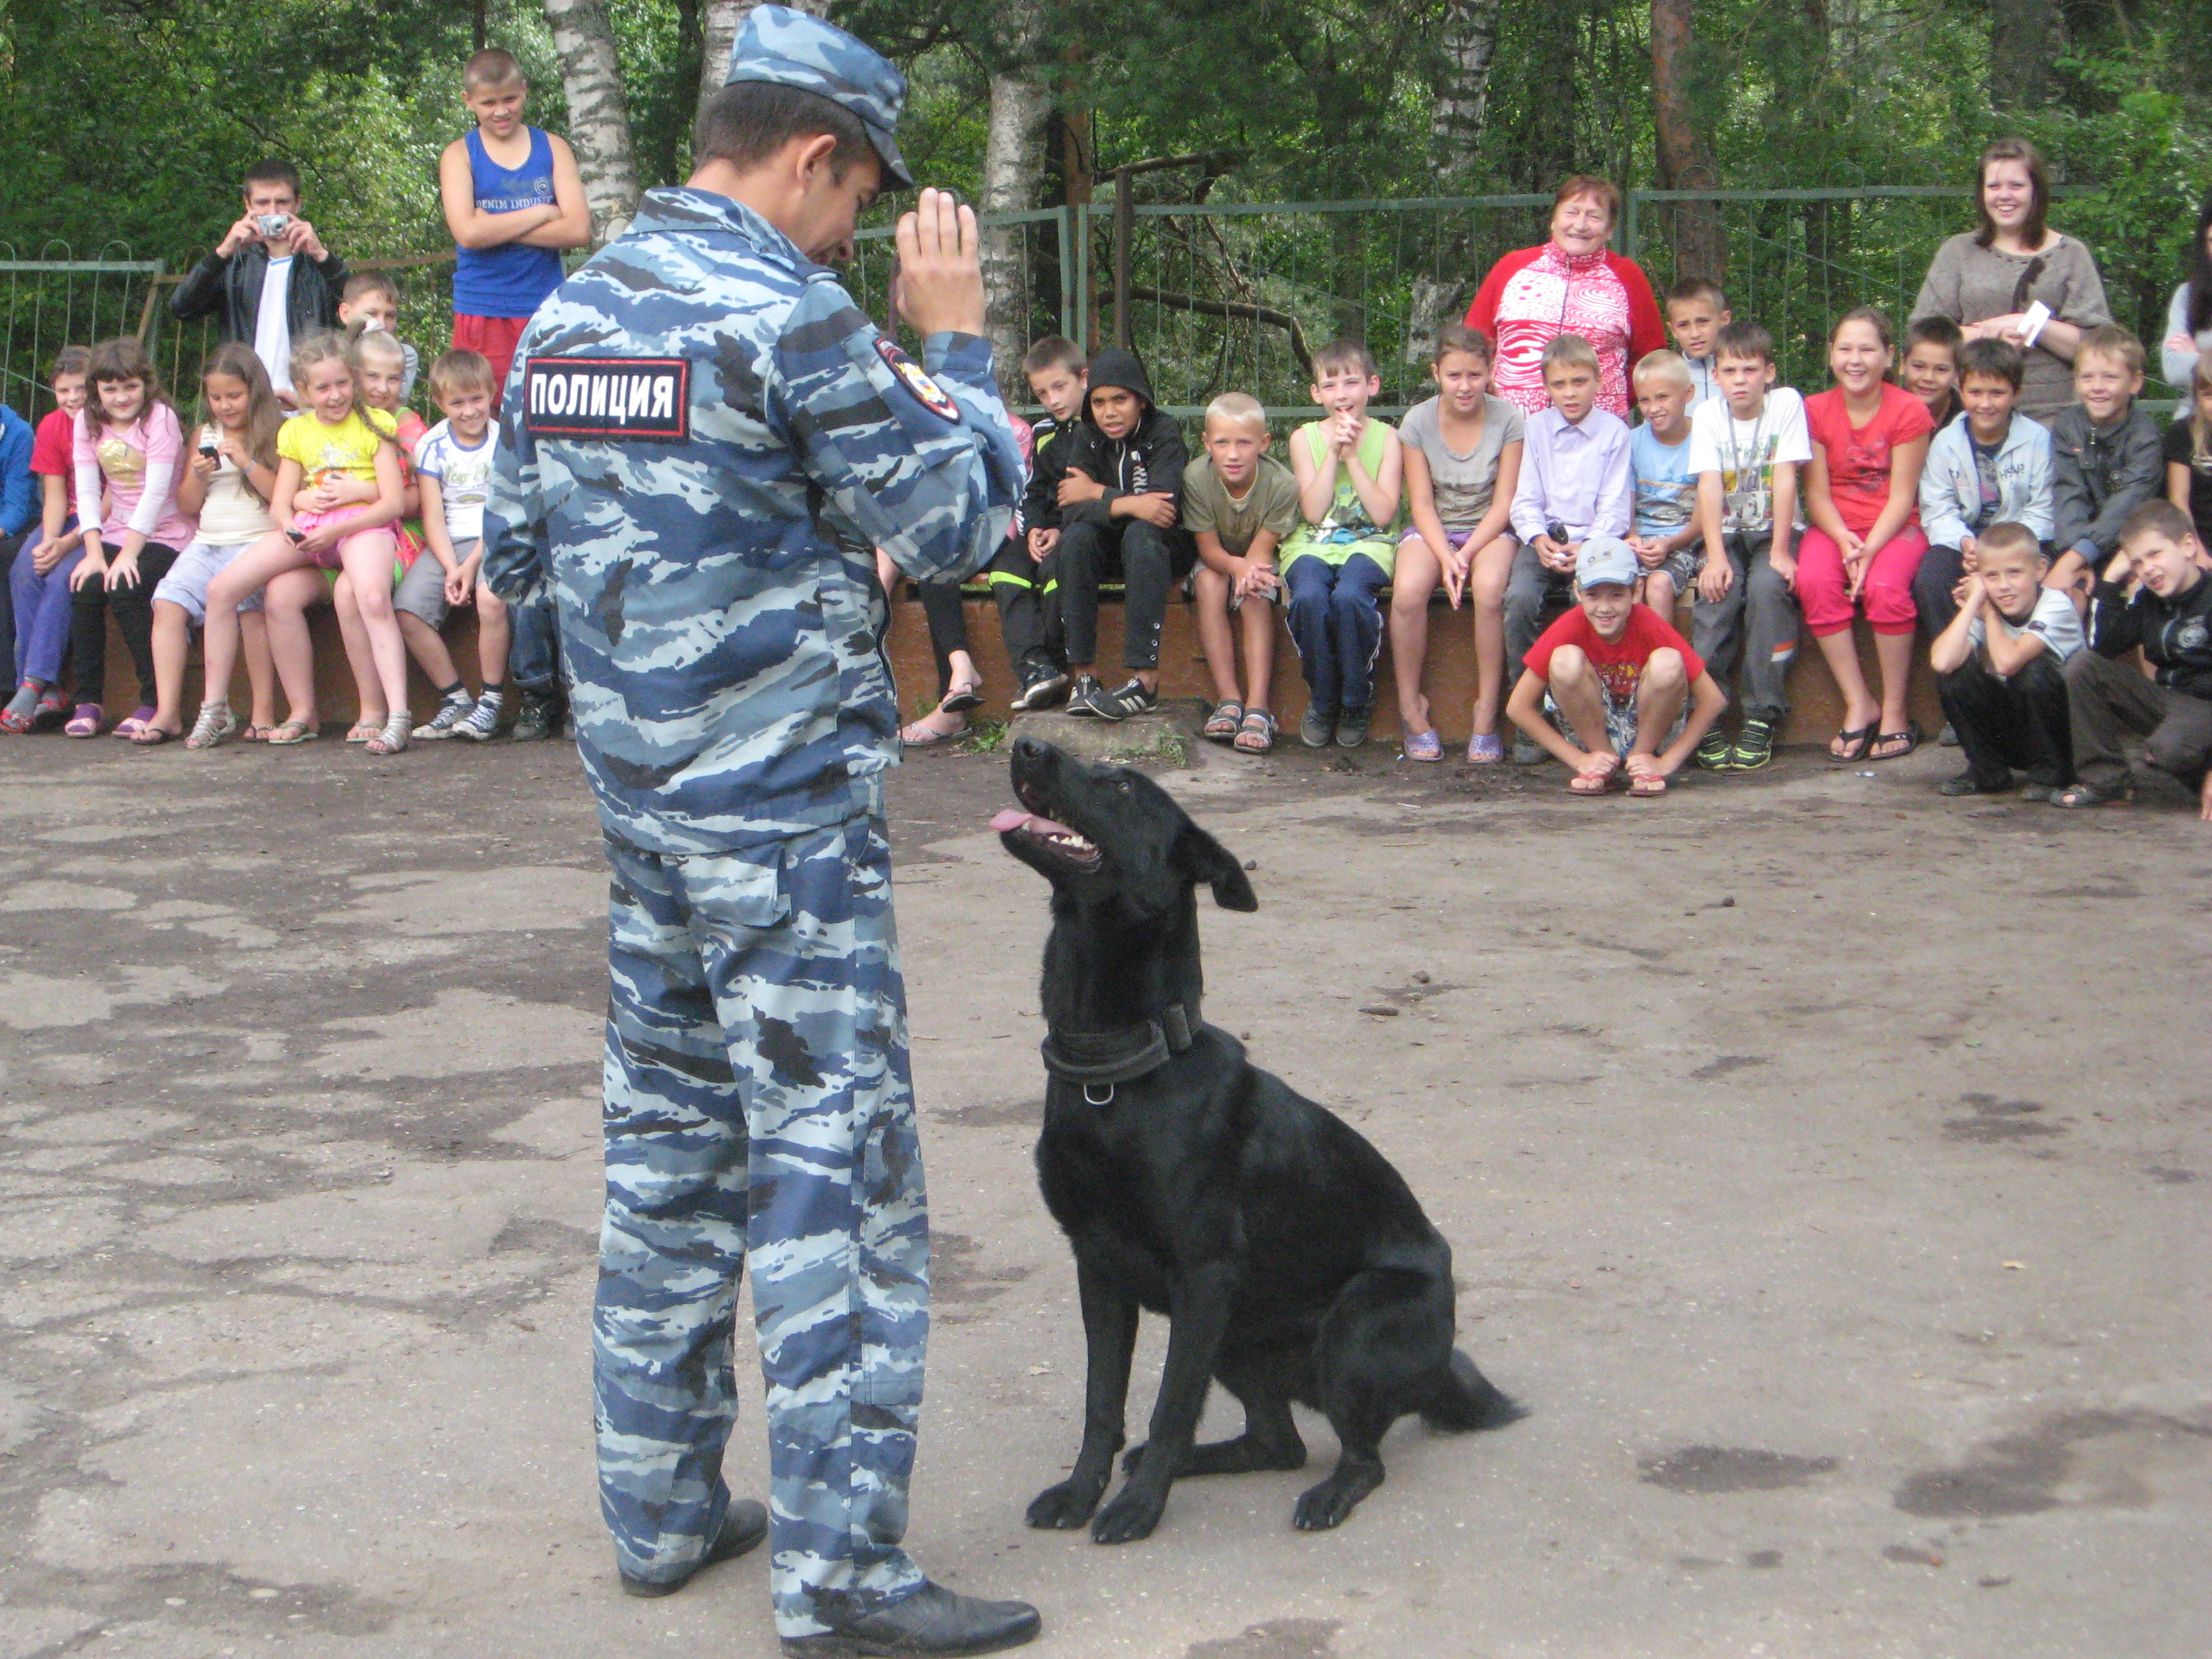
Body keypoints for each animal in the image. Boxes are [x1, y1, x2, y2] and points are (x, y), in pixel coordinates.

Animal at [995, 739, 1513, 1548]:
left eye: (1121, 785)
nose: (1026, 743)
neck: (1119, 1073)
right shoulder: (1099, 1268)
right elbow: (1101, 1403)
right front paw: (1083, 1492)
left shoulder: (1202, 1278)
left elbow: (1169, 1406)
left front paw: (1137, 1508)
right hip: (1239, 1338)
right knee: (1278, 1443)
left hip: (1351, 1326)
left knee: (1361, 1459)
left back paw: (1322, 1495)